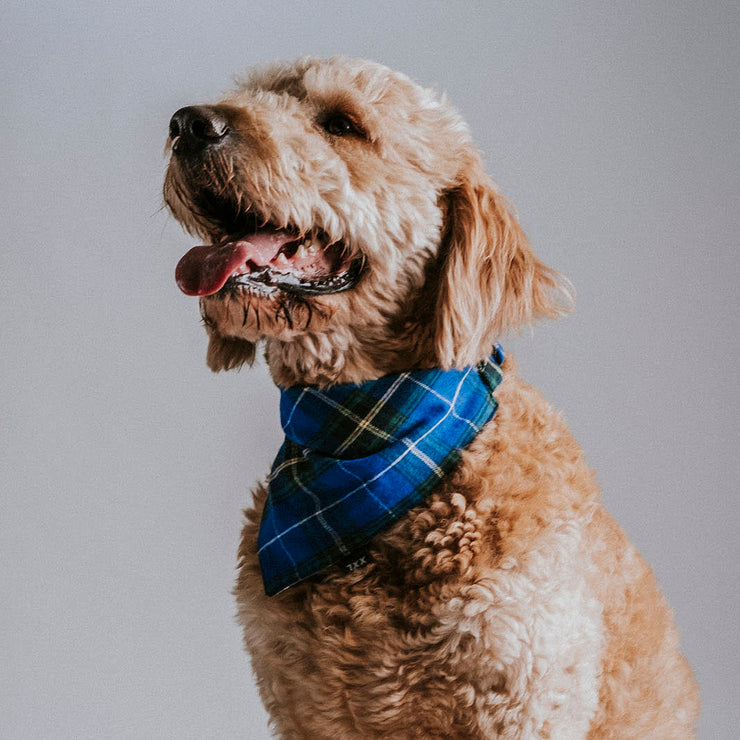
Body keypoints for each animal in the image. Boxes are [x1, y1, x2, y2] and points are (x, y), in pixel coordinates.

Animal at [163, 55, 700, 736]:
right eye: (252, 93)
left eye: (342, 123)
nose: (188, 123)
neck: (366, 441)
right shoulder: (303, 702)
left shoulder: (518, 696)